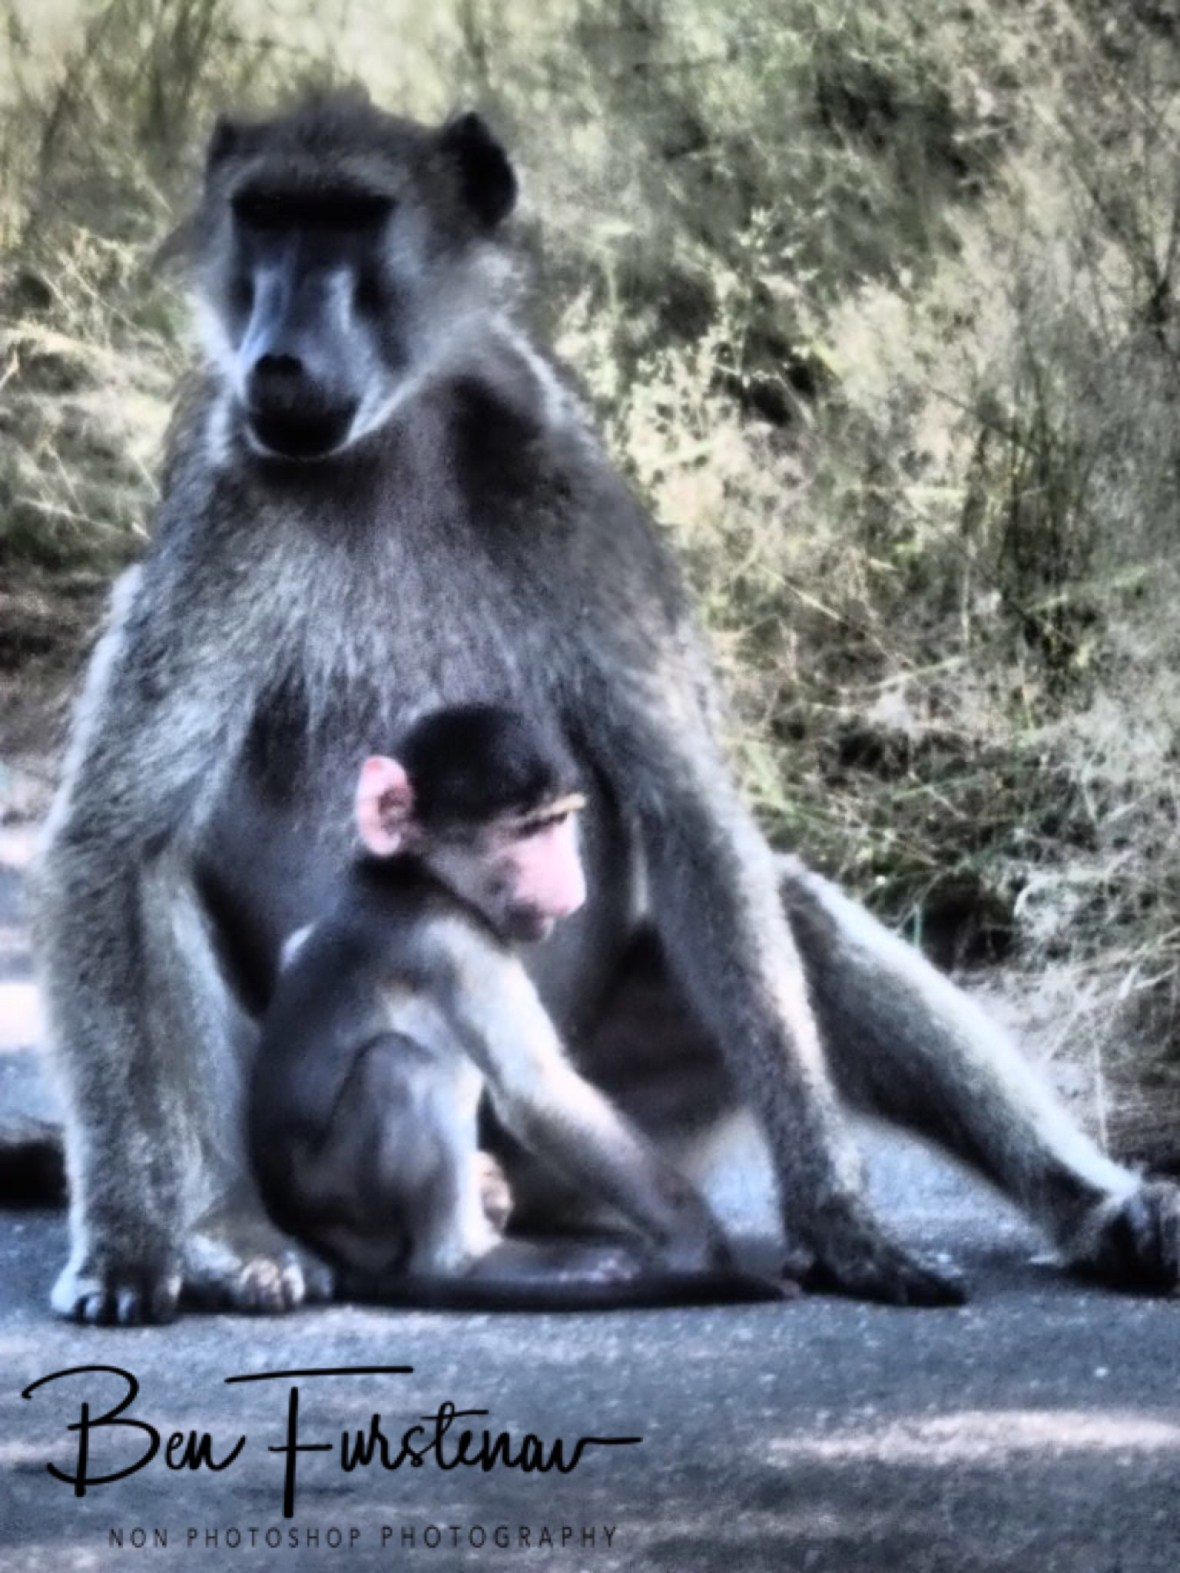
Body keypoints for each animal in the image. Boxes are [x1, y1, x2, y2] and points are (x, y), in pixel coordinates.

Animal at [250, 702, 786, 1307]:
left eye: (559, 821)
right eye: (530, 829)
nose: (570, 887)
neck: (412, 875)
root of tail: (310, 1230)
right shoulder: (455, 940)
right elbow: (537, 1094)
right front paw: (701, 1243)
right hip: (349, 1207)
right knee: (399, 1067)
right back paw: (466, 1264)